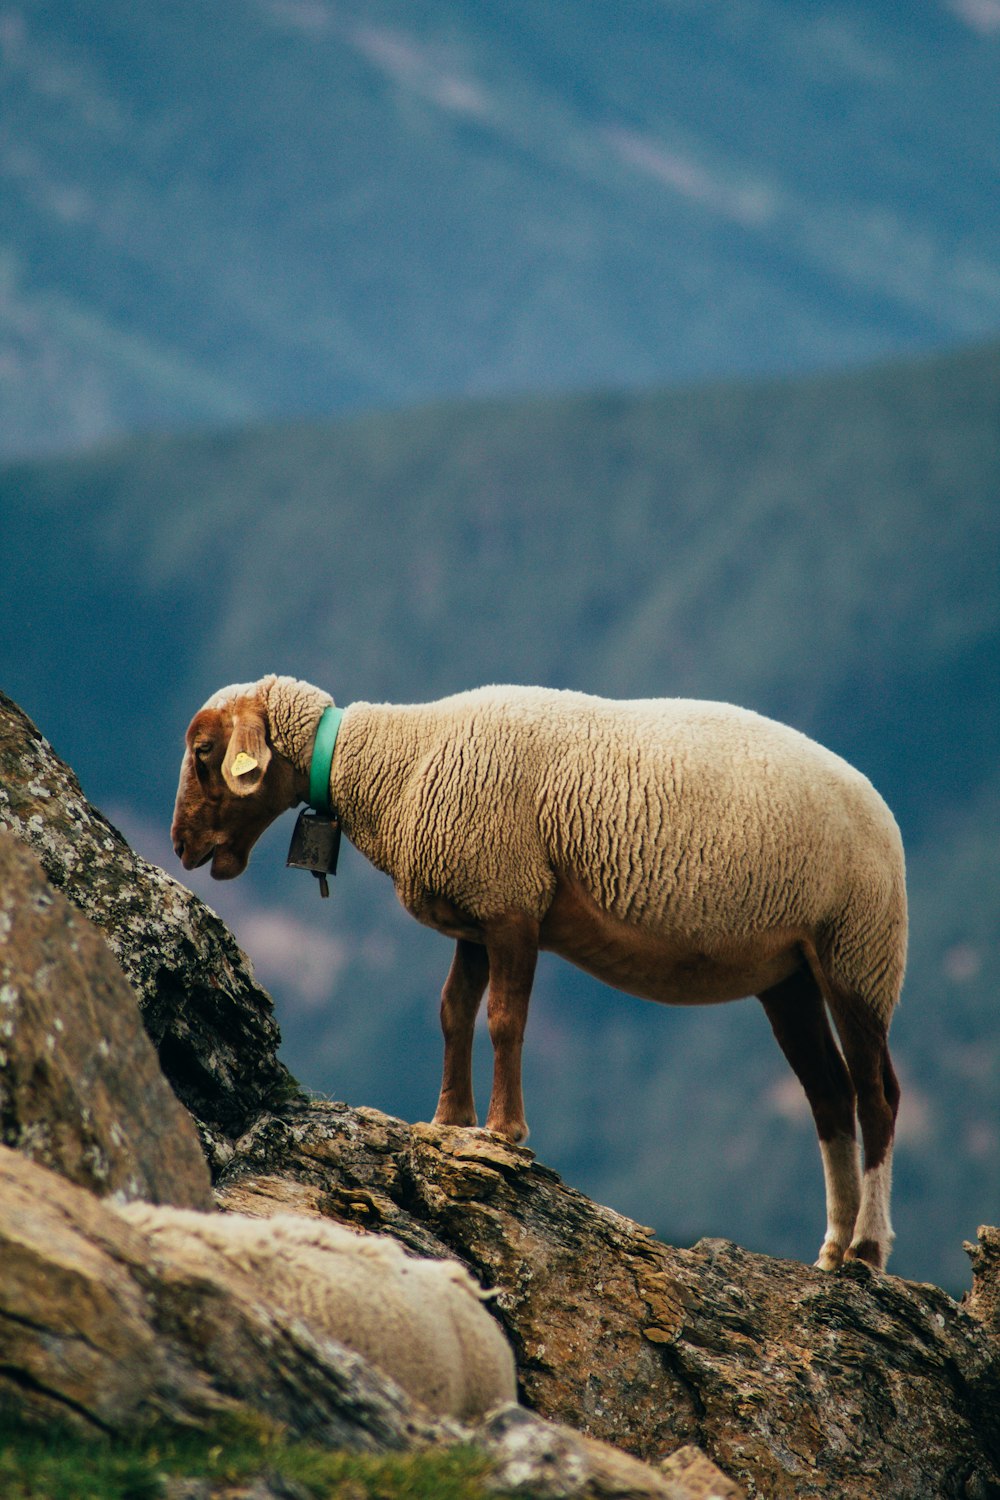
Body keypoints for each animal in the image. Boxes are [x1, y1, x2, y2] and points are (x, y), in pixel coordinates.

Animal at [172, 675, 905, 1272]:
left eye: (204, 750)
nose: (181, 846)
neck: (396, 762)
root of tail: (883, 810)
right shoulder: (475, 908)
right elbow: (452, 1011)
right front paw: (450, 1119)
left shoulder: (512, 902)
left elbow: (504, 1019)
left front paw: (503, 1131)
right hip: (789, 971)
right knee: (829, 1093)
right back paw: (831, 1252)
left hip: (859, 952)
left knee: (877, 1095)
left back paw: (867, 1251)